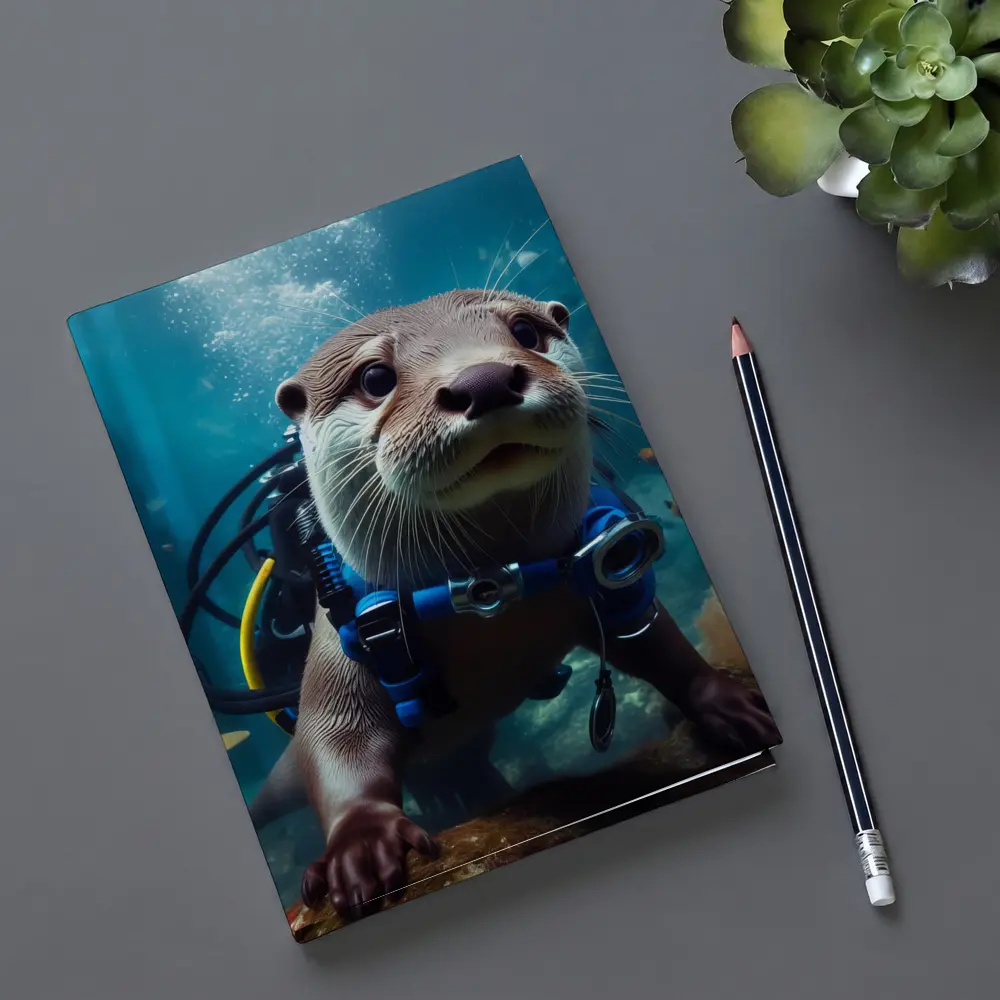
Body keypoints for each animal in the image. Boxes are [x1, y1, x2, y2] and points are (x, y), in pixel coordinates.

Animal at [267, 290, 779, 921]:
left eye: (526, 332)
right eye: (375, 377)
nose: (483, 380)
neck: (491, 592)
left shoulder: (606, 581)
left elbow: (655, 642)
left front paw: (727, 701)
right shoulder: (338, 647)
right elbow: (335, 737)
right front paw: (360, 846)